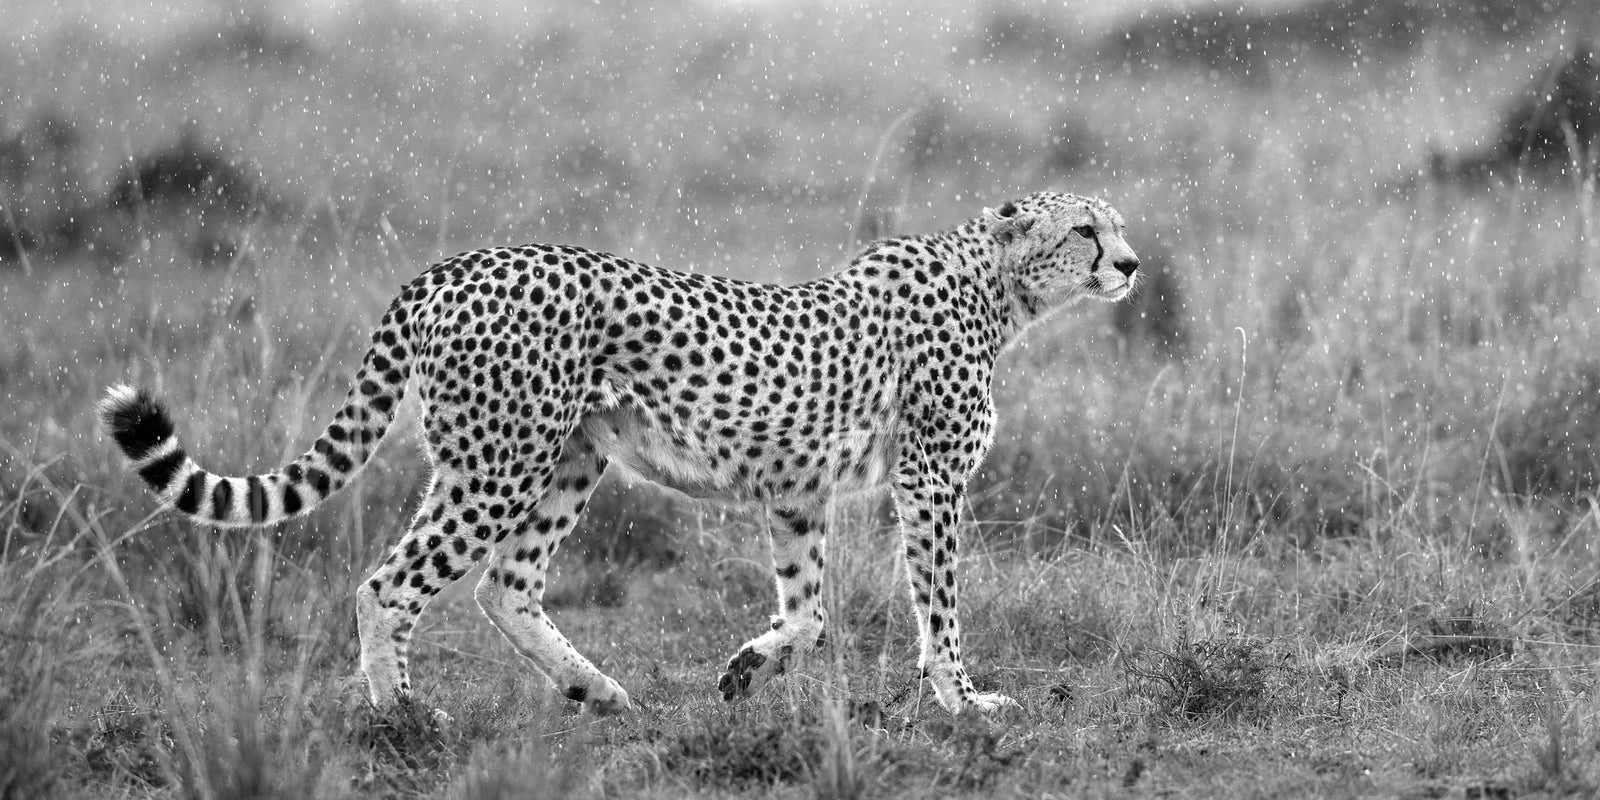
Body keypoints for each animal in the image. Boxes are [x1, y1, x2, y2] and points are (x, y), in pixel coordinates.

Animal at [98, 190, 1139, 716]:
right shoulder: (931, 480)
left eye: (1116, 225)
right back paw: (404, 717)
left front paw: (746, 669)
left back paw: (588, 686)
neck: (996, 282)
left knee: (505, 585)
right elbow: (941, 606)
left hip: (567, 459)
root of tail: (456, 264)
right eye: (1085, 229)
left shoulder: (795, 489)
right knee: (390, 584)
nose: (1131, 264)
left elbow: (809, 614)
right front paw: (963, 700)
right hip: (499, 460)